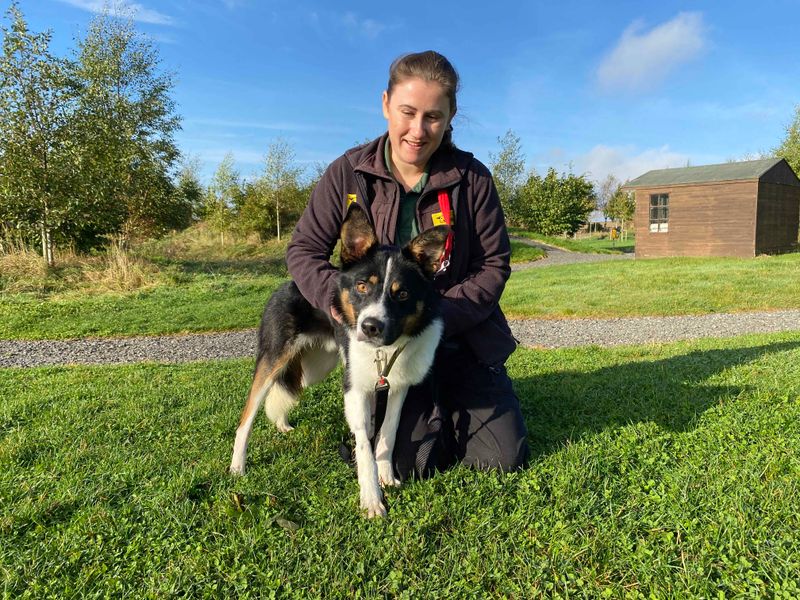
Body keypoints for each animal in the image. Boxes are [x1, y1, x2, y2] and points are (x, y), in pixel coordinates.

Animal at [231, 204, 450, 516]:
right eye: (362, 287)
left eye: (403, 293)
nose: (370, 327)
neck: (384, 351)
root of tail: (285, 285)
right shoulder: (355, 389)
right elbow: (364, 444)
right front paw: (371, 498)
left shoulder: (397, 386)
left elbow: (388, 430)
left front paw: (386, 475)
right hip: (273, 360)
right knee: (247, 415)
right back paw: (237, 466)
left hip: (317, 367)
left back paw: (281, 424)